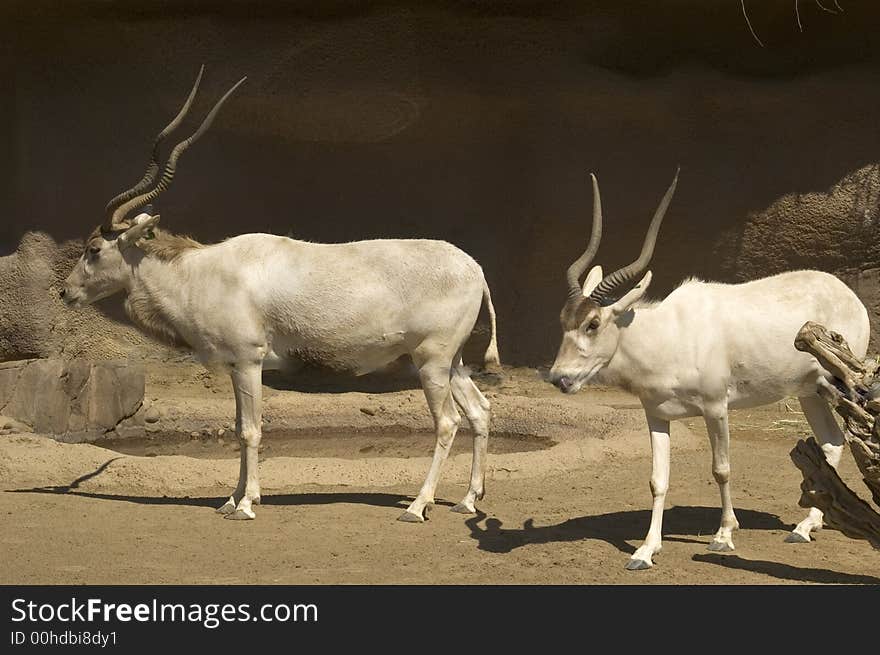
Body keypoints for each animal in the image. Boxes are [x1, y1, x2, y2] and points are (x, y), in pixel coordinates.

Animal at [60, 68, 502, 524]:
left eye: (94, 249)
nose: (66, 291)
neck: (202, 271)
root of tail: (475, 269)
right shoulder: (236, 366)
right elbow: (240, 427)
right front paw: (230, 499)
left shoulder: (248, 360)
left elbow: (251, 430)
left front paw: (246, 505)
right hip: (452, 363)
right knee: (479, 411)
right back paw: (468, 499)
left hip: (431, 361)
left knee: (448, 421)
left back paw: (417, 506)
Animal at [548, 172, 868, 572]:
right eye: (564, 320)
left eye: (593, 323)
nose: (559, 378)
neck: (667, 333)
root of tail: (849, 295)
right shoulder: (656, 414)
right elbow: (658, 480)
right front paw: (645, 551)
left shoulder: (716, 408)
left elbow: (721, 468)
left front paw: (723, 536)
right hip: (810, 391)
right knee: (831, 441)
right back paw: (804, 527)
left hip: (842, 383)